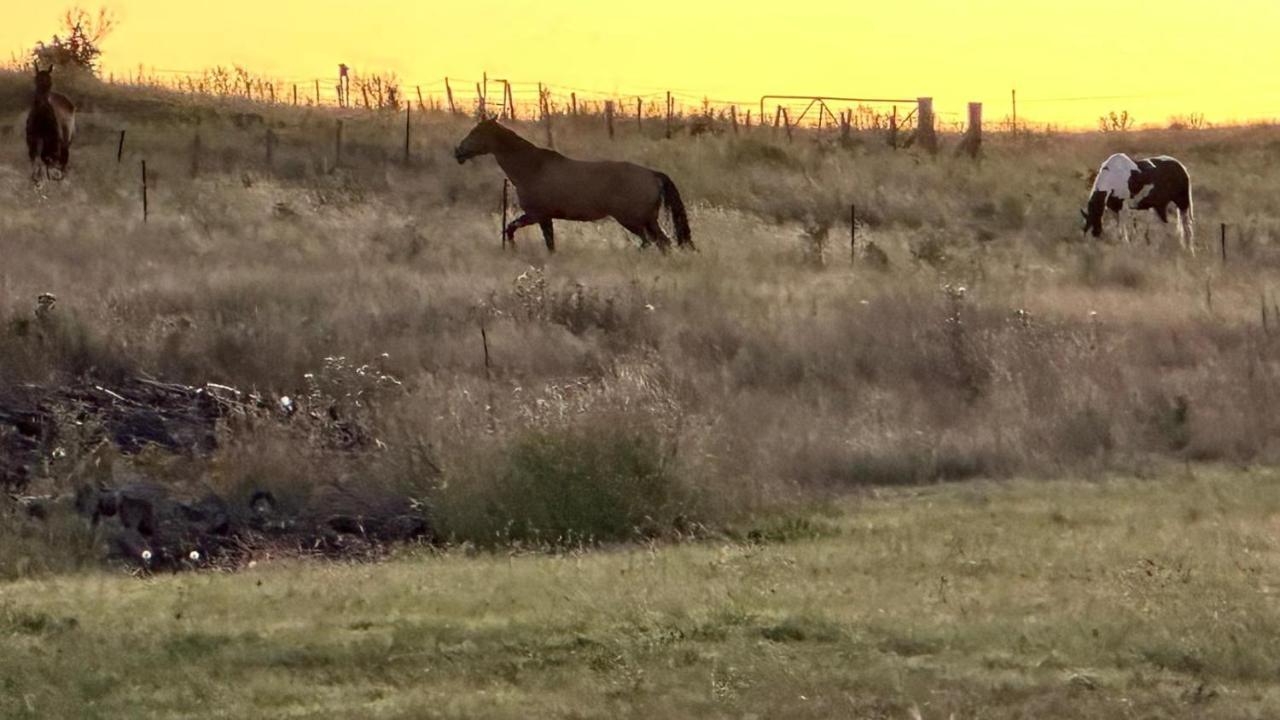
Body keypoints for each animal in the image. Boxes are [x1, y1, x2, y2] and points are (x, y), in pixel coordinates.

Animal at [453, 117, 691, 252]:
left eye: (476, 132)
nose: (458, 152)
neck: (532, 168)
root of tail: (652, 174)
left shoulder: (538, 215)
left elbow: (535, 238)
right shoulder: (540, 216)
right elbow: (520, 231)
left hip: (633, 220)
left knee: (653, 242)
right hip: (647, 220)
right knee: (662, 242)